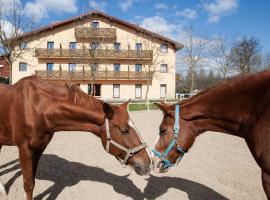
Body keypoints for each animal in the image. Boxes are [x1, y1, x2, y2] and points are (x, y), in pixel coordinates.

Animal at [0, 75, 152, 200]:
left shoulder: (38, 149)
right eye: (124, 130)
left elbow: (32, 180)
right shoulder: (25, 149)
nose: (148, 163)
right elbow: (28, 184)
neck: (37, 107)